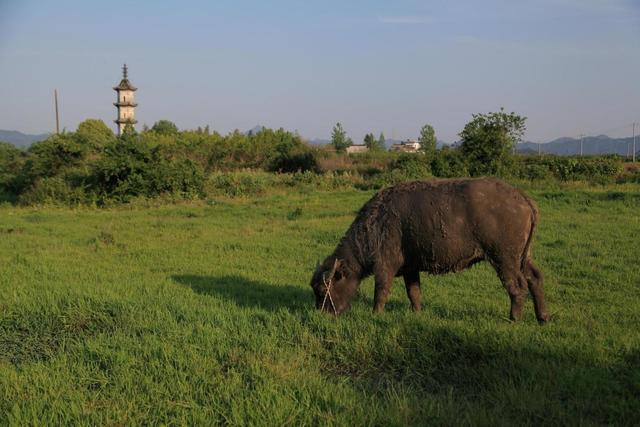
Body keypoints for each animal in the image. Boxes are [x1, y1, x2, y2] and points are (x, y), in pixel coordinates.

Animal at [310, 178, 552, 324]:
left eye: (322, 290)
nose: (322, 314)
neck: (375, 223)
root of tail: (522, 198)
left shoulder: (384, 268)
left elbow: (381, 293)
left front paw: (375, 315)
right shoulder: (410, 269)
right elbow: (414, 293)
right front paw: (417, 312)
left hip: (504, 260)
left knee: (517, 287)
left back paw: (514, 319)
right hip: (523, 258)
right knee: (535, 278)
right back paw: (543, 318)